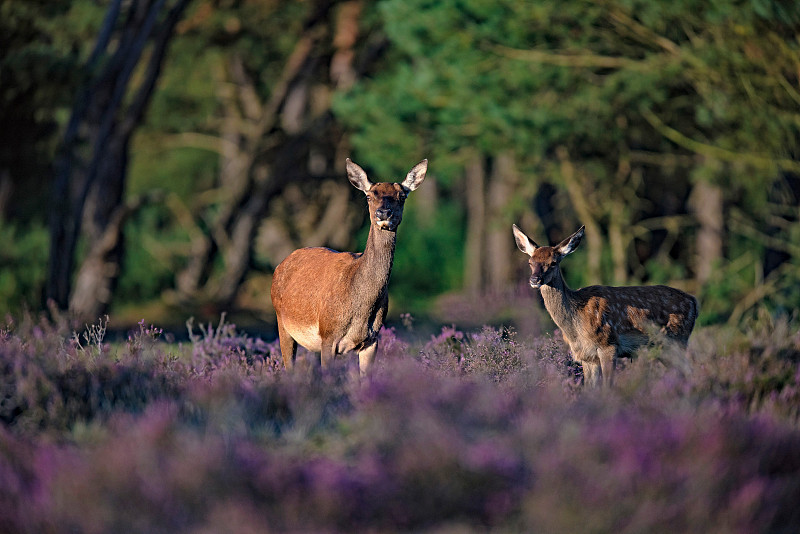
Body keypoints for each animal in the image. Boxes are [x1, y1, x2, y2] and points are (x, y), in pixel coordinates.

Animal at [272, 159, 428, 376]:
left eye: (402, 195)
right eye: (369, 196)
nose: (384, 213)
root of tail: (281, 264)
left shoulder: (372, 340)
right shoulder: (328, 336)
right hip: (282, 323)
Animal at [516, 224, 696, 388]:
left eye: (553, 262)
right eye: (530, 262)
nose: (535, 279)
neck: (575, 326)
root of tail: (694, 302)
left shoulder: (608, 344)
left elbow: (607, 387)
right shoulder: (587, 356)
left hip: (677, 340)